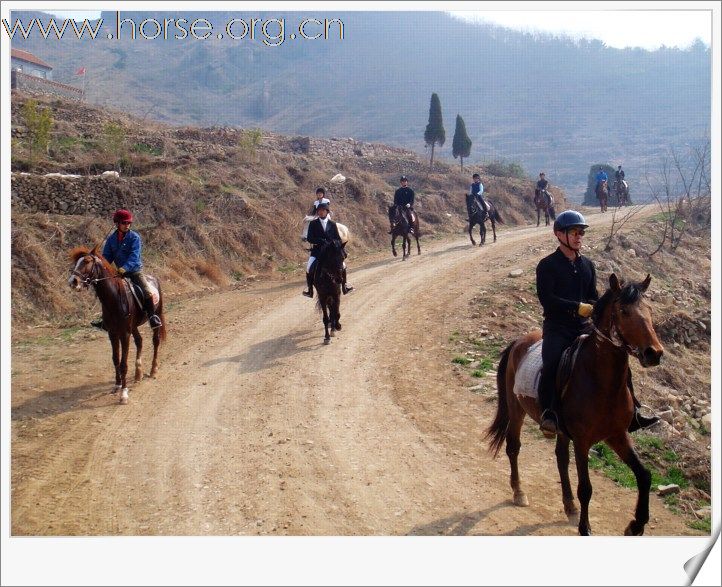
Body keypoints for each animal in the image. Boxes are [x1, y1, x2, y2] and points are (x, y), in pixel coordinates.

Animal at [68, 245, 166, 404]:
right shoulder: (112, 333)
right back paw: (138, 373)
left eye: (87, 261)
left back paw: (153, 370)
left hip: (155, 318)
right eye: (77, 262)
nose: (73, 281)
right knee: (139, 341)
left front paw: (124, 393)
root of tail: (153, 278)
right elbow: (115, 359)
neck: (114, 298)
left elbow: (123, 363)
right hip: (133, 327)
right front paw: (117, 385)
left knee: (155, 341)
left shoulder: (124, 334)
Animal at [484, 274, 664, 536]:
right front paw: (585, 528)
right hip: (517, 410)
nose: (654, 353)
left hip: (560, 429)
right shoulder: (582, 440)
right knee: (513, 447)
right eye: (624, 311)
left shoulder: (617, 435)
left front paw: (636, 524)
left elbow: (644, 475)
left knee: (560, 457)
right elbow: (586, 488)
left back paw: (569, 504)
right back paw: (519, 492)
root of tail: (519, 341)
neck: (602, 382)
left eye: (649, 310)